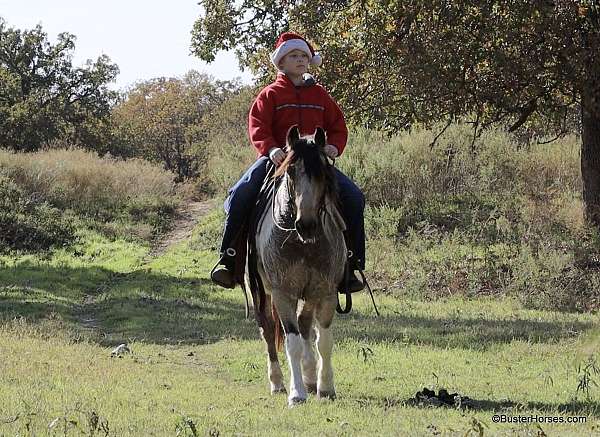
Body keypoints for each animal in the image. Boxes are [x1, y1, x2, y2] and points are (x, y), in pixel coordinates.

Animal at [245, 124, 346, 404]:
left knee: (305, 325)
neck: (303, 244)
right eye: (290, 170)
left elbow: (323, 340)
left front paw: (325, 387)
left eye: (323, 171)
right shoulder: (283, 293)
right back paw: (278, 382)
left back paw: (310, 376)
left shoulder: (324, 291)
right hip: (260, 292)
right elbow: (292, 342)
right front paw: (297, 392)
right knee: (269, 331)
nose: (306, 224)